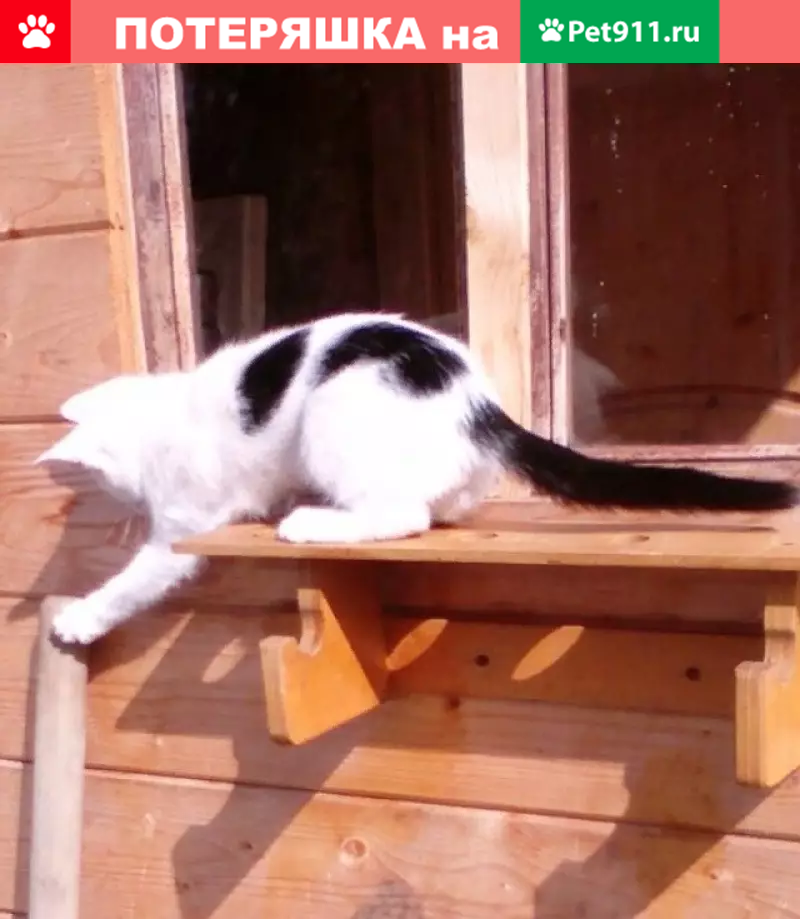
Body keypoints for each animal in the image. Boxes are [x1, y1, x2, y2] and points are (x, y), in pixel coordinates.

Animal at [36, 311, 797, 645]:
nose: (118, 502)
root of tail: (474, 401)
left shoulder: (184, 525)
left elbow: (137, 579)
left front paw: (79, 619)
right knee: (439, 507)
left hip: (331, 410)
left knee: (405, 515)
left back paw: (315, 522)